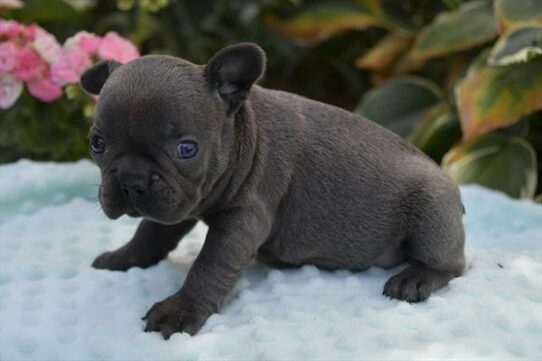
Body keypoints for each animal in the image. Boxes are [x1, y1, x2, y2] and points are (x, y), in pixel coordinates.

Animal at [81, 42, 468, 338]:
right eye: (97, 144)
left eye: (186, 149)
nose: (131, 181)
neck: (240, 133)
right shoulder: (182, 204)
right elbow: (150, 234)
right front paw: (122, 258)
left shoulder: (241, 217)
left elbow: (209, 264)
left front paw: (181, 309)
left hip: (432, 207)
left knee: (452, 265)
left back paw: (415, 278)